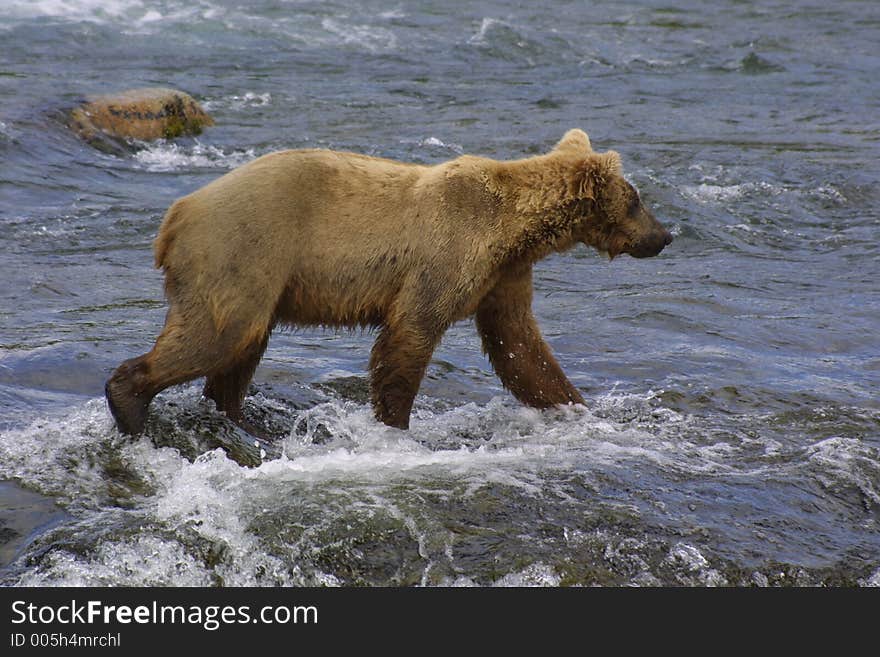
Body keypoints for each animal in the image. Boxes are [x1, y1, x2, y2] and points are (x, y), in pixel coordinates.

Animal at [106, 127, 672, 436]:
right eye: (636, 199)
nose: (665, 235)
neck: (515, 229)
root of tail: (176, 213)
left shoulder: (504, 275)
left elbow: (520, 347)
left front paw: (574, 405)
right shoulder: (448, 251)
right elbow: (411, 334)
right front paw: (395, 425)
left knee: (240, 350)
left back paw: (240, 419)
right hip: (242, 251)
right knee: (219, 335)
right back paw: (130, 402)